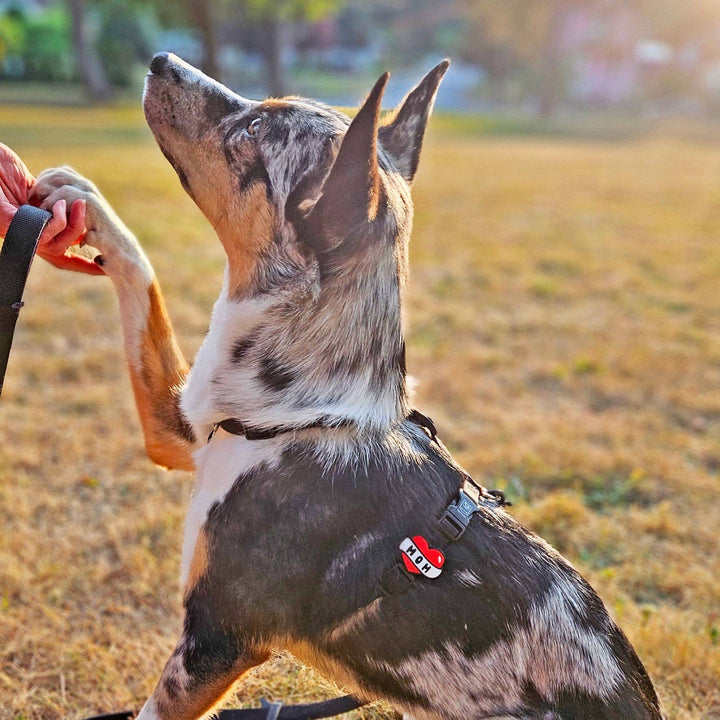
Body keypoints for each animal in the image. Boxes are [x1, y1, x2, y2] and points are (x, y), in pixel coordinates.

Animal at [32, 52, 664, 720]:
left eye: (255, 131)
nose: (161, 61)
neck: (304, 414)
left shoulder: (215, 641)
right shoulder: (181, 429)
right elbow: (142, 285)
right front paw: (86, 205)